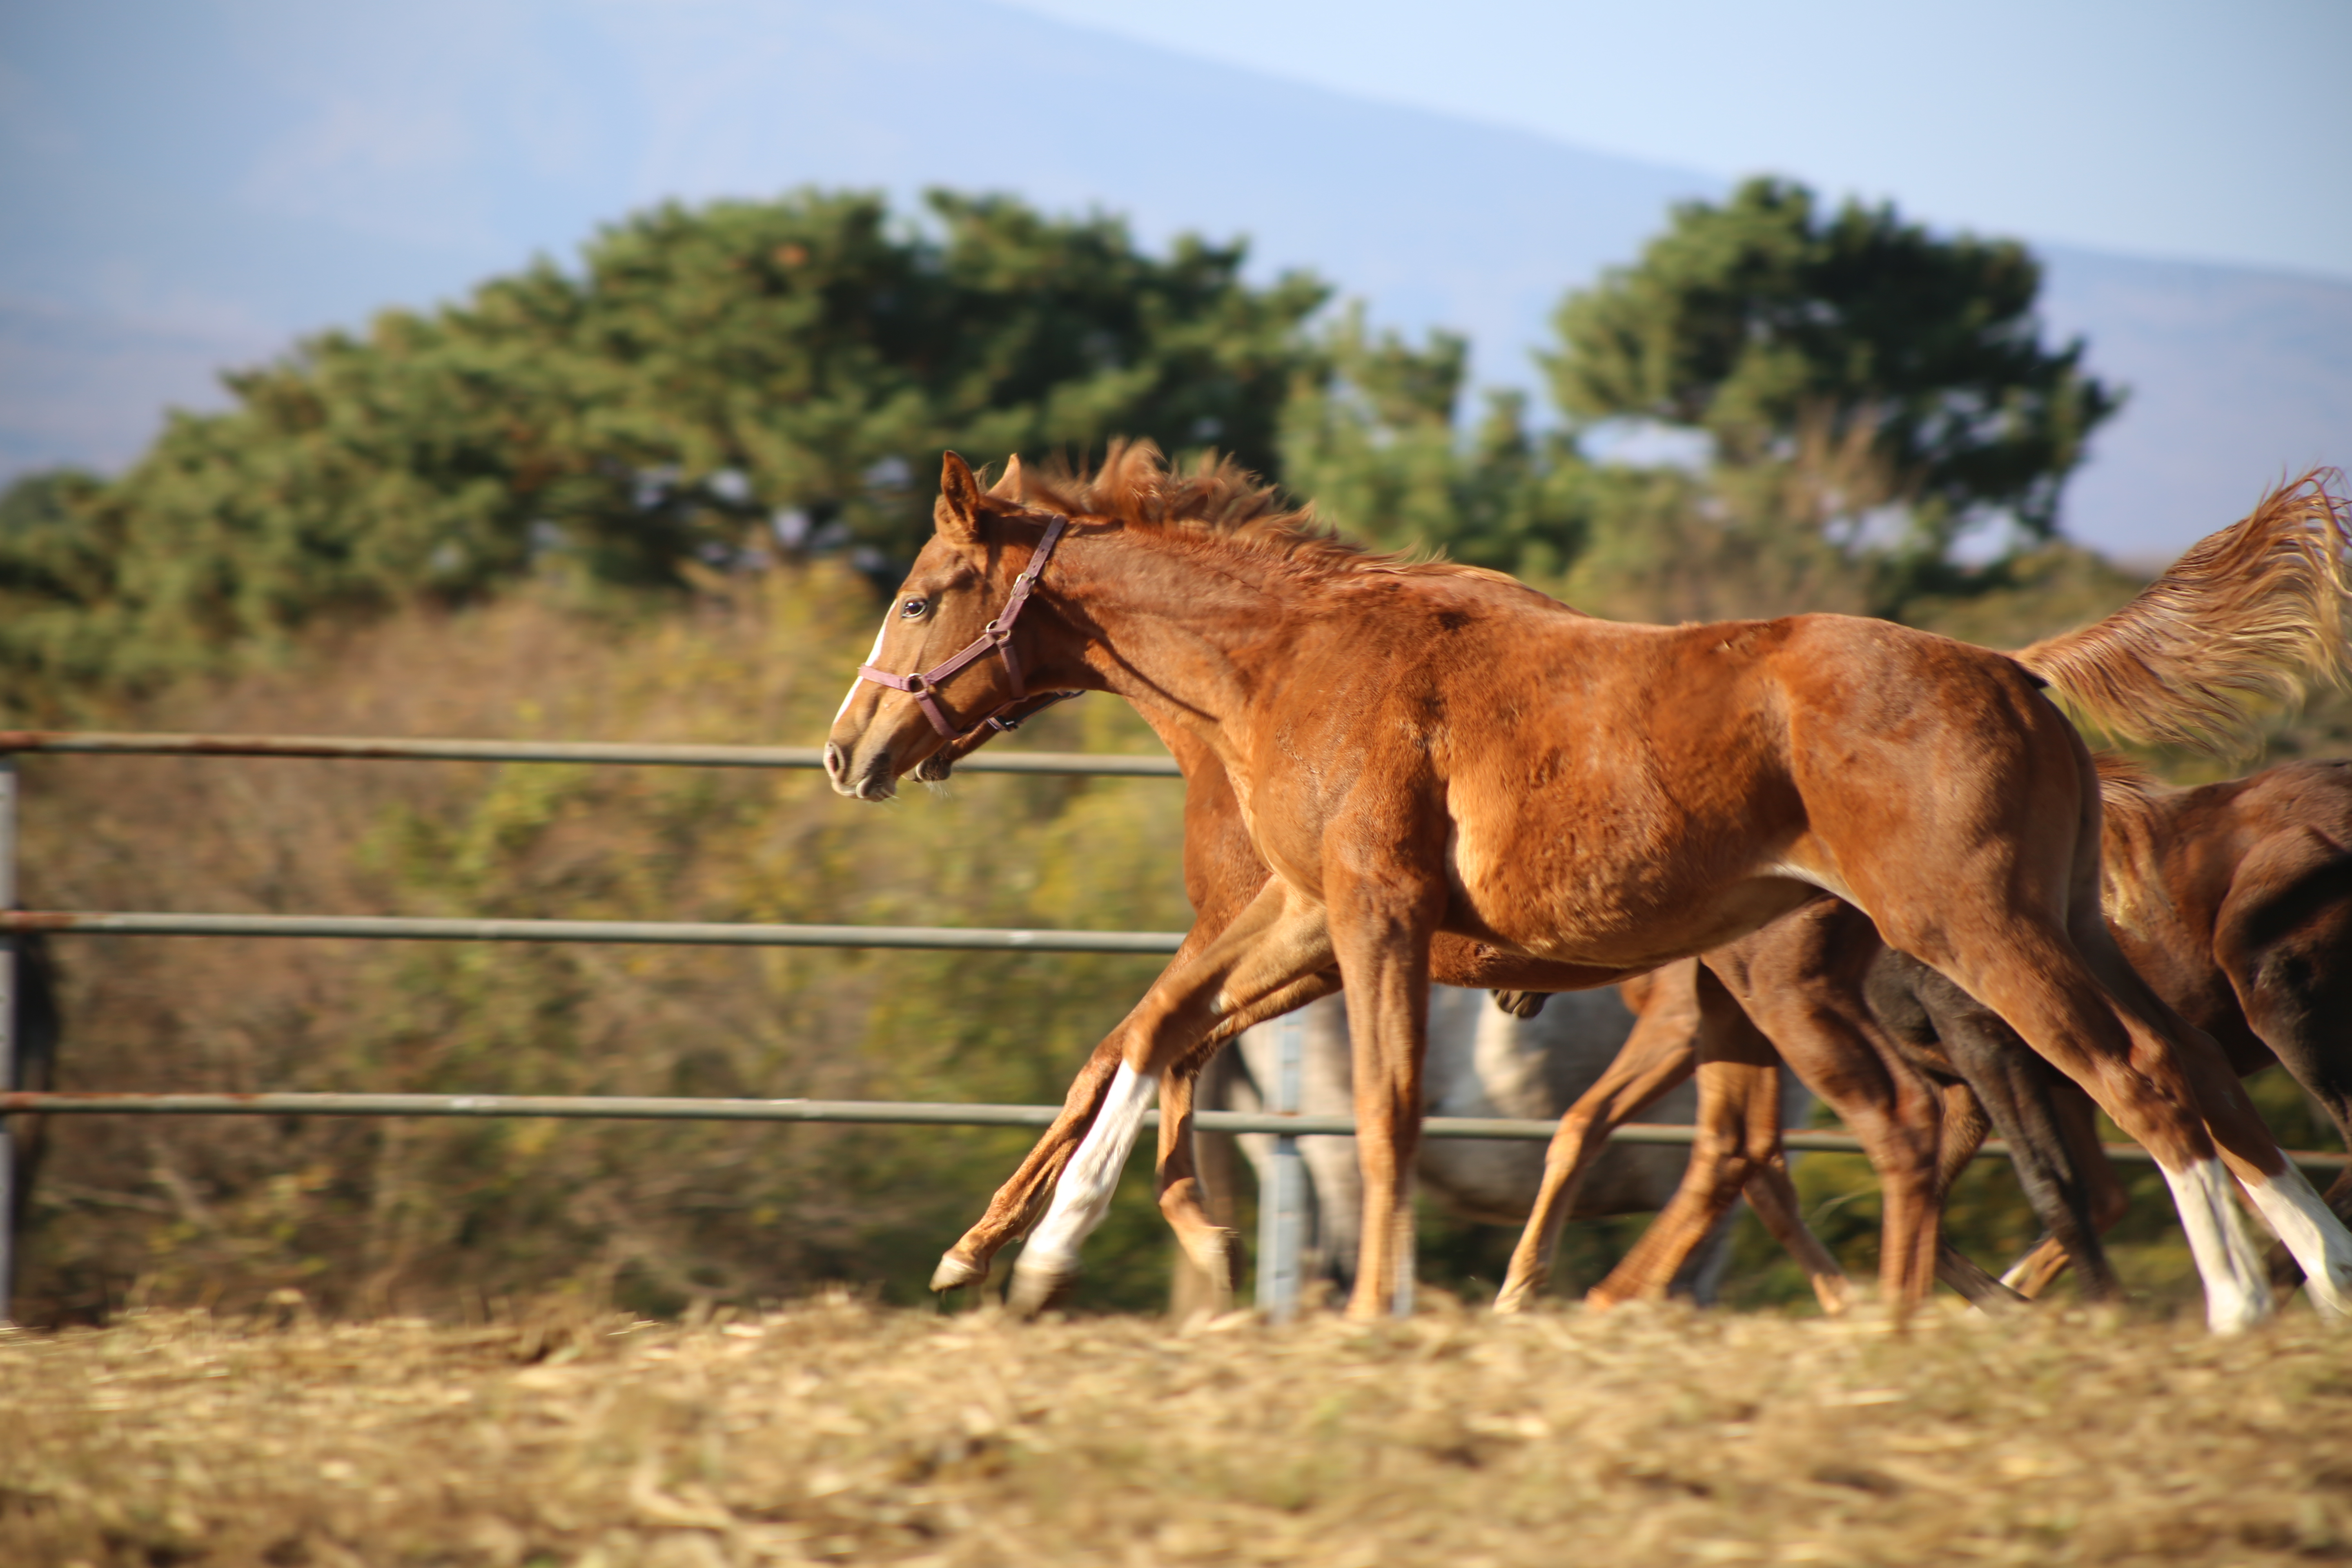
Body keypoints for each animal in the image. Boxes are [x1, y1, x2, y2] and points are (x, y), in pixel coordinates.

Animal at [833, 446, 2352, 1335]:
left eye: (918, 595)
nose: (849, 749)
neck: (1290, 663)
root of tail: (2017, 672)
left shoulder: (1372, 919)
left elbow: (1375, 1115)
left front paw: (1374, 1310)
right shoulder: (1304, 918)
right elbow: (1145, 1035)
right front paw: (1023, 1257)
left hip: (1966, 935)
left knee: (2103, 1088)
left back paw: (2223, 1301)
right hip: (2042, 930)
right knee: (2177, 1076)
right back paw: (2313, 1272)